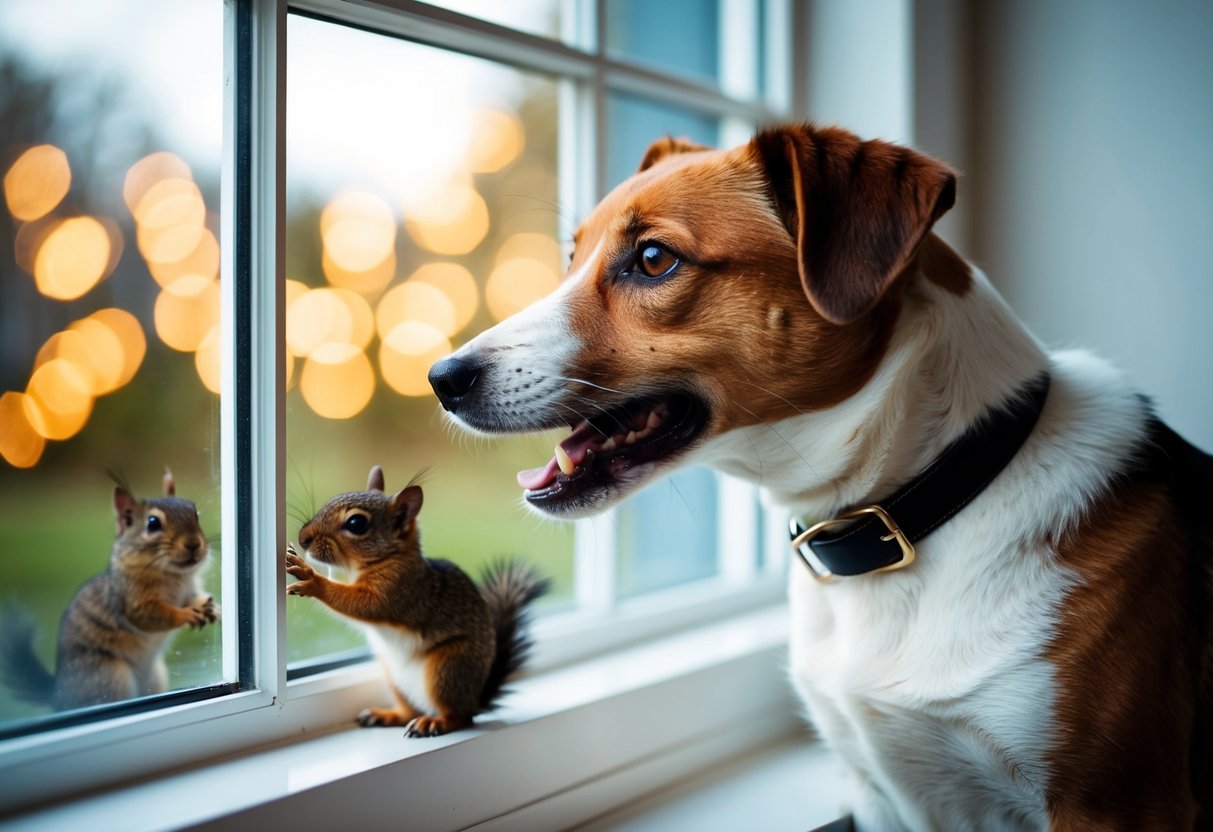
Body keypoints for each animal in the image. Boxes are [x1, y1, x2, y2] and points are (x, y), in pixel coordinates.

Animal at [0, 470, 219, 711]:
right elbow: (151, 615)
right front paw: (186, 614)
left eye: (196, 513)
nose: (193, 544)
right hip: (110, 675)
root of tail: (58, 695)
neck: (175, 576)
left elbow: (194, 597)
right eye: (152, 523)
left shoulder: (188, 590)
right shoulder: (129, 599)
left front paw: (212, 607)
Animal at [286, 465, 549, 737]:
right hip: (393, 677)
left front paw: (311, 579)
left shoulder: (399, 589)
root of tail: (474, 698)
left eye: (356, 523)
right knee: (408, 711)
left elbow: (364, 604)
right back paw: (386, 715)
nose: (303, 538)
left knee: (460, 717)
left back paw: (435, 722)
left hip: (448, 668)